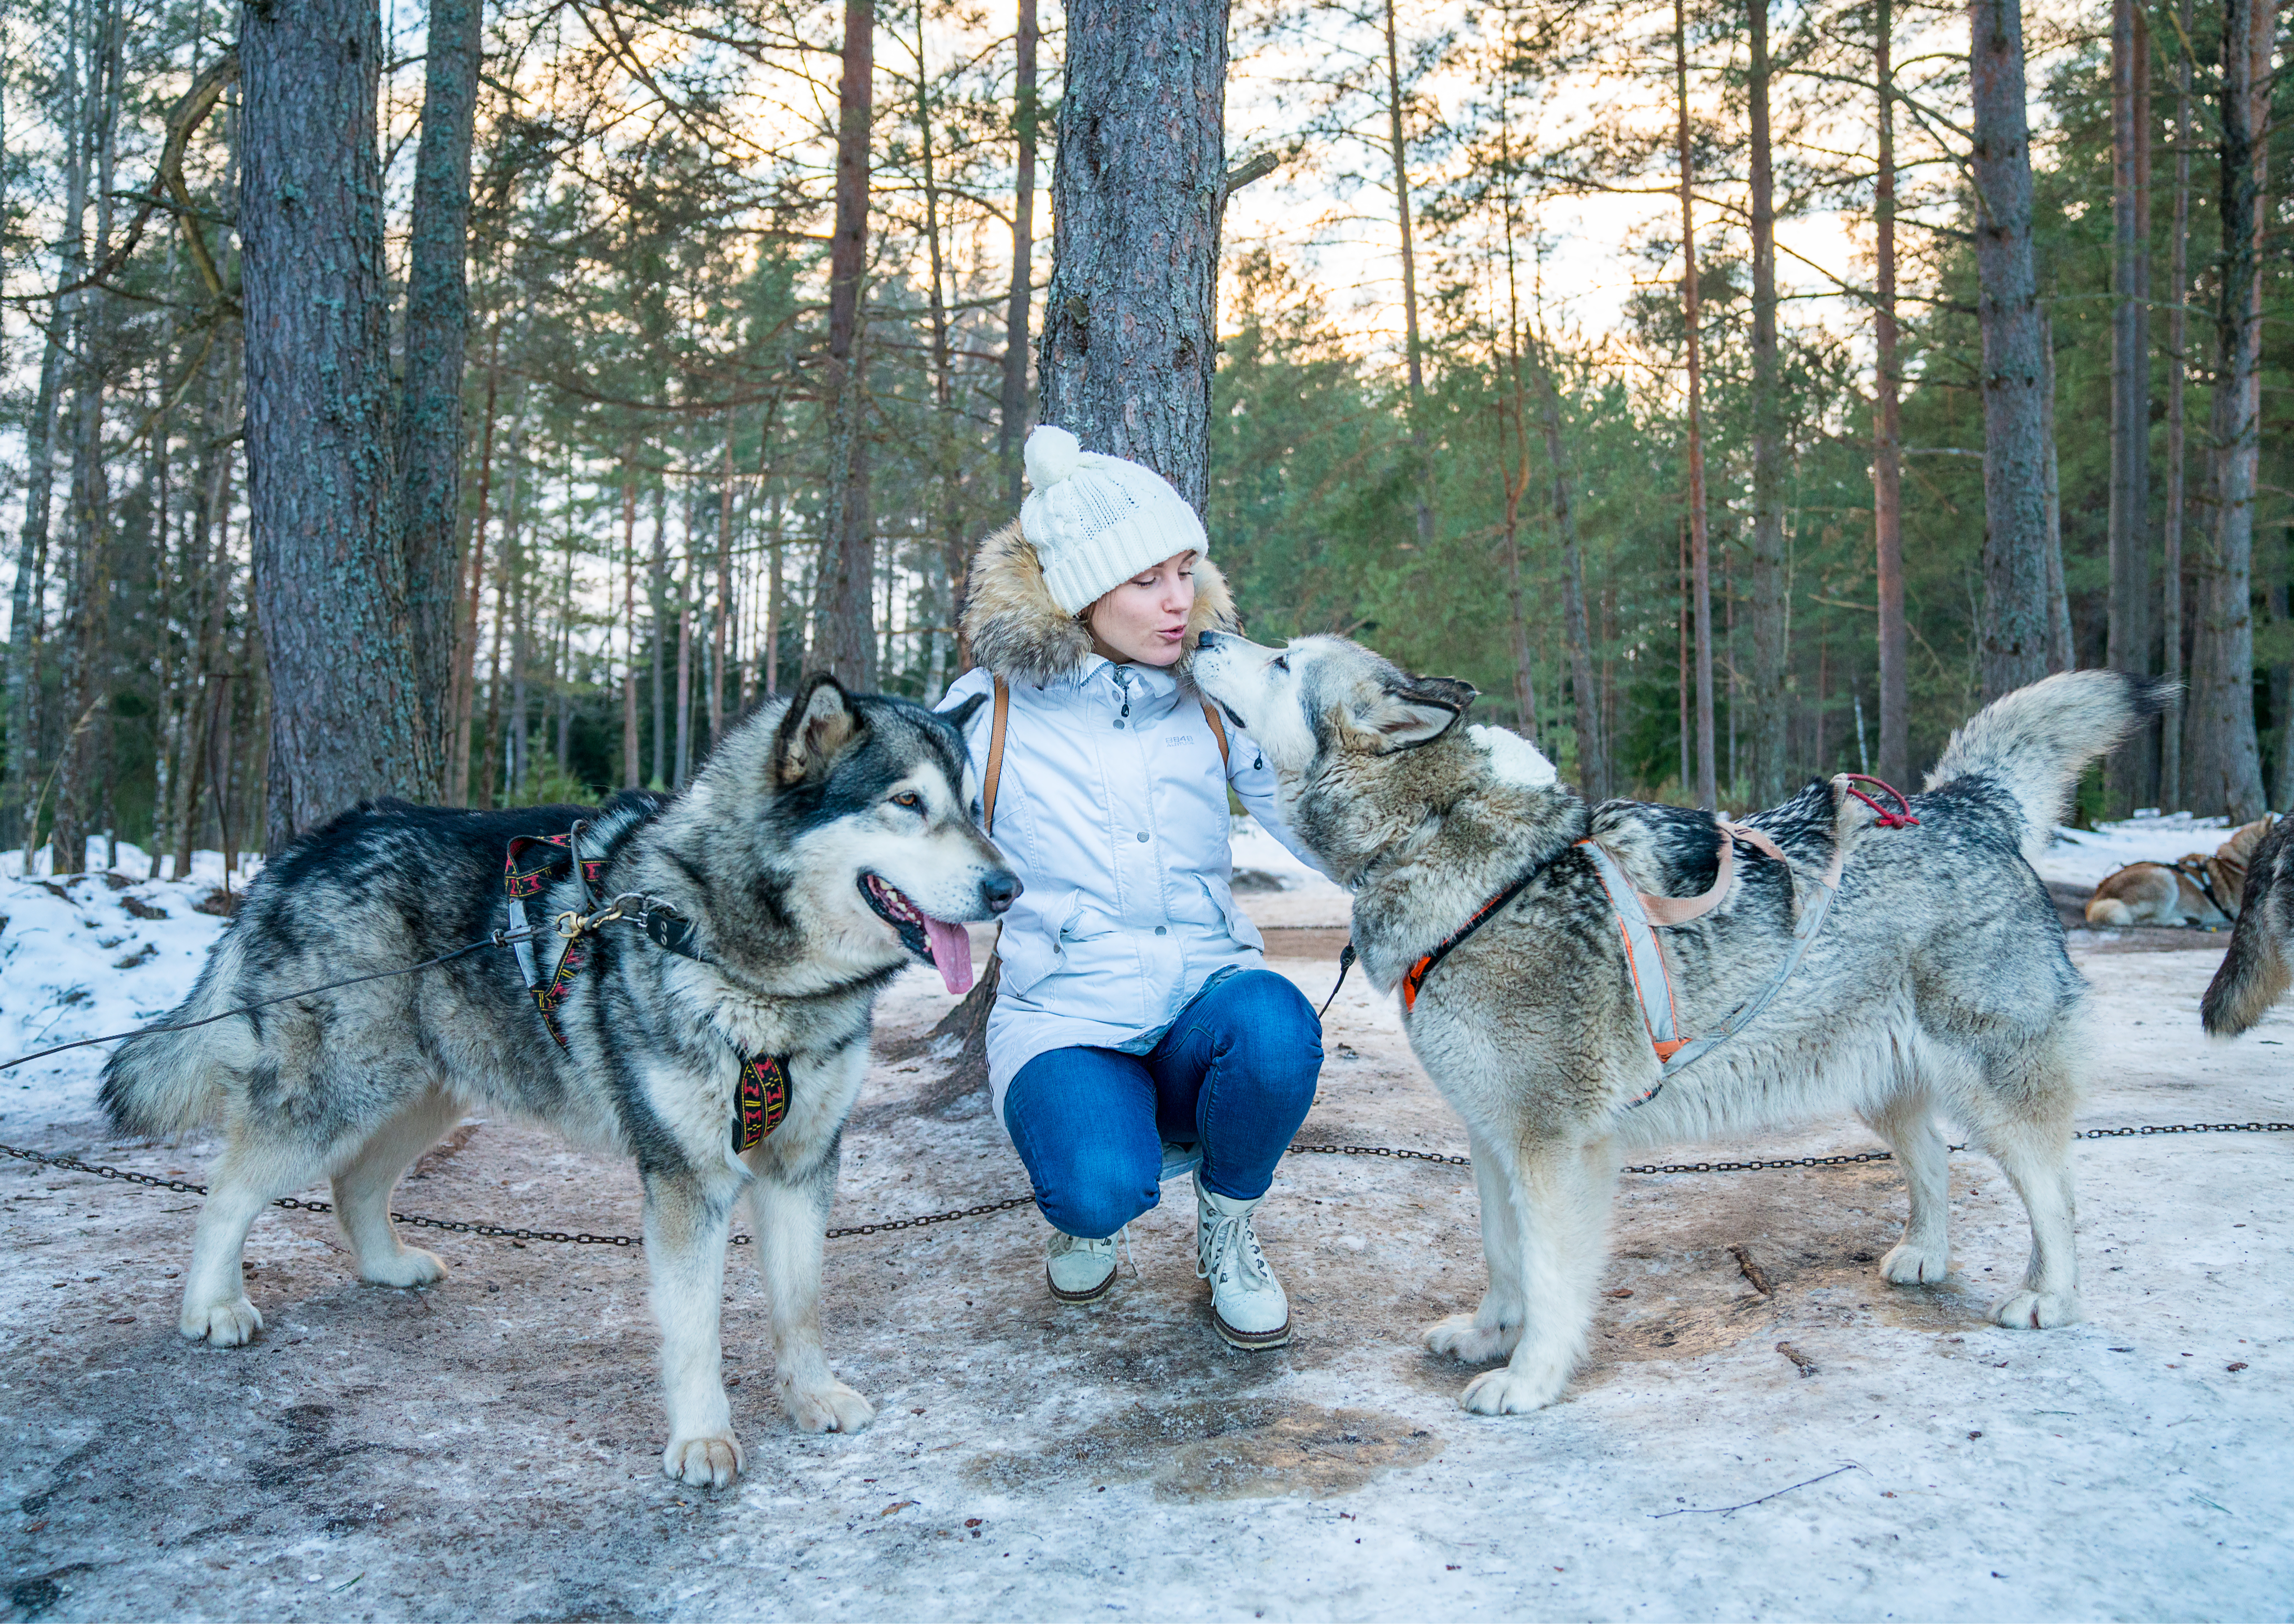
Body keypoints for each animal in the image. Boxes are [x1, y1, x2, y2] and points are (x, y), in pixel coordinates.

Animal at [98, 674, 1014, 1486]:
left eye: (975, 807)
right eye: (907, 801)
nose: (1009, 885)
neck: (741, 960)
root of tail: (305, 846)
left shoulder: (803, 1163)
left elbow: (801, 1302)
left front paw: (812, 1394)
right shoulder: (687, 1178)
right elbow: (695, 1329)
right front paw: (702, 1439)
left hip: (428, 1095)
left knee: (353, 1181)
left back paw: (386, 1266)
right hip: (335, 1094)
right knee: (229, 1190)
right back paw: (211, 1307)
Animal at [1193, 633, 2174, 1422]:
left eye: (1280, 661)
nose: (1201, 632)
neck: (1444, 841)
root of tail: (1965, 804)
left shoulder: (1554, 1147)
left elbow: (1550, 1278)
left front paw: (1530, 1378)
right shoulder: (1491, 1136)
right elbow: (1504, 1259)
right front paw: (1488, 1334)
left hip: (1992, 1085)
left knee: (2054, 1194)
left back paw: (2051, 1300)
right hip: (1880, 1084)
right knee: (1931, 1160)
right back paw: (1926, 1255)